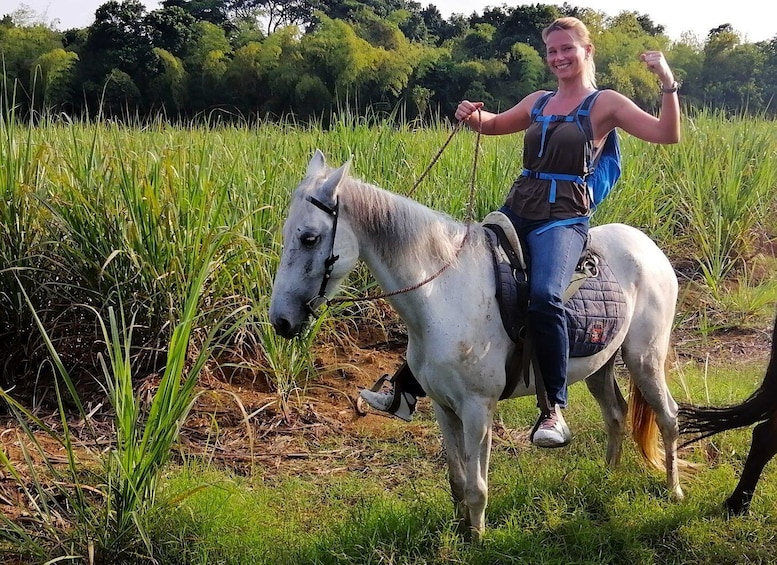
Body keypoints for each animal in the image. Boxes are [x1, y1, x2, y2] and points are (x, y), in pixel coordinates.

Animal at [270, 149, 684, 536]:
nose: (281, 321)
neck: (442, 294)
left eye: (310, 238)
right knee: (616, 413)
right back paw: (608, 477)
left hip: (644, 358)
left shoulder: (477, 409)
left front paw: (479, 538)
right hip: (601, 363)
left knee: (668, 416)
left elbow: (477, 487)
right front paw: (461, 532)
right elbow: (458, 480)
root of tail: (648, 247)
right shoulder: (443, 406)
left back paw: (674, 490)